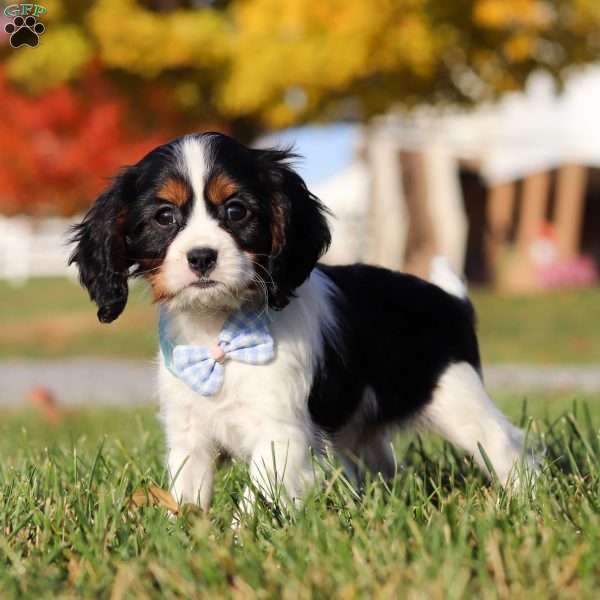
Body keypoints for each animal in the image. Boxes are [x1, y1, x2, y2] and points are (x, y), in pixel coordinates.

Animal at [70, 132, 536, 510]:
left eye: (236, 211)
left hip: (460, 400)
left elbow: (253, 504)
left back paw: (526, 500)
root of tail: (450, 300)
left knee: (508, 446)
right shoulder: (190, 435)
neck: (221, 330)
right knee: (381, 463)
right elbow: (187, 497)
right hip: (362, 427)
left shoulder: (281, 438)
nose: (201, 257)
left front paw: (239, 539)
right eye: (164, 216)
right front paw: (182, 535)